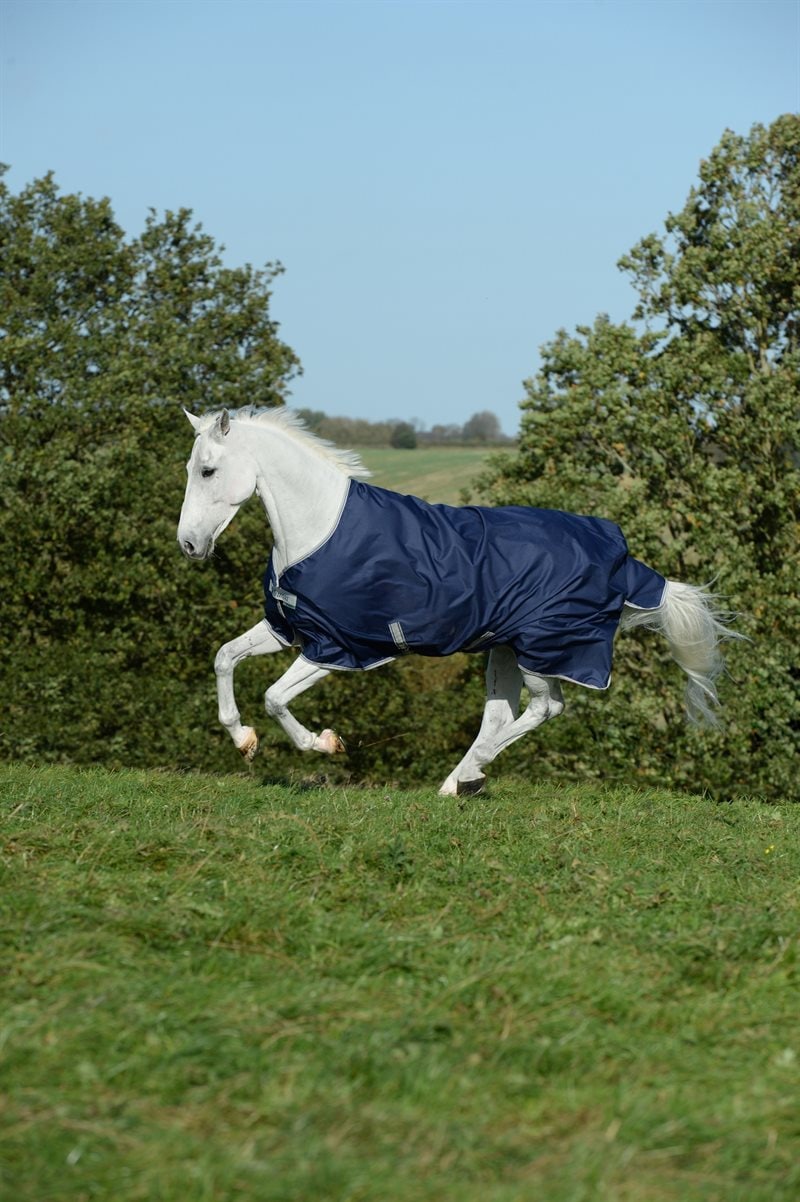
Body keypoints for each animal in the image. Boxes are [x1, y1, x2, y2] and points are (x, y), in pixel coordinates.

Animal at [177, 406, 738, 795]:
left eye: (207, 471)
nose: (188, 545)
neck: (319, 530)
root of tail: (624, 560)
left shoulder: (338, 648)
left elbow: (275, 697)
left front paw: (324, 743)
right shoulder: (289, 628)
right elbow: (224, 657)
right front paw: (243, 740)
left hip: (542, 649)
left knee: (545, 708)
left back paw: (471, 773)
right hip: (506, 649)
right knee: (503, 714)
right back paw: (458, 782)